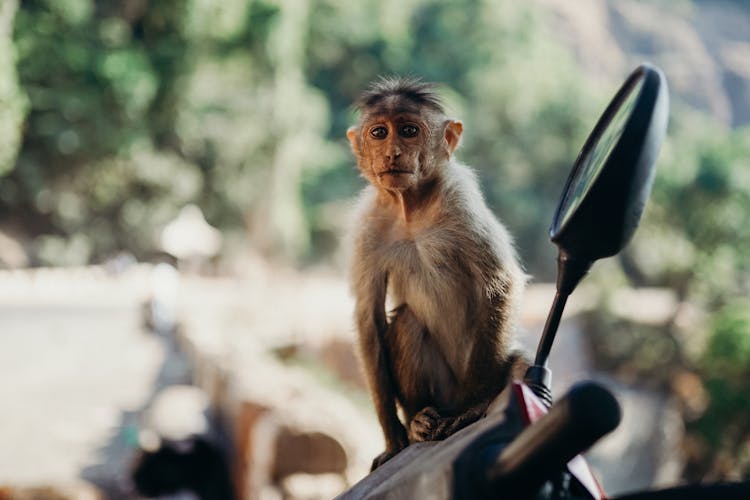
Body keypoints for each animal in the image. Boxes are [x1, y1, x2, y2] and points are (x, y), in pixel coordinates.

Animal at [346, 76, 528, 470]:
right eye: (379, 132)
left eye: (409, 131)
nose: (392, 153)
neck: (410, 207)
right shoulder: (366, 225)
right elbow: (368, 315)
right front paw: (394, 438)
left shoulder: (459, 200)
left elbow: (499, 283)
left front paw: (476, 404)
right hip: (441, 390)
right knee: (407, 322)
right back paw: (419, 420)